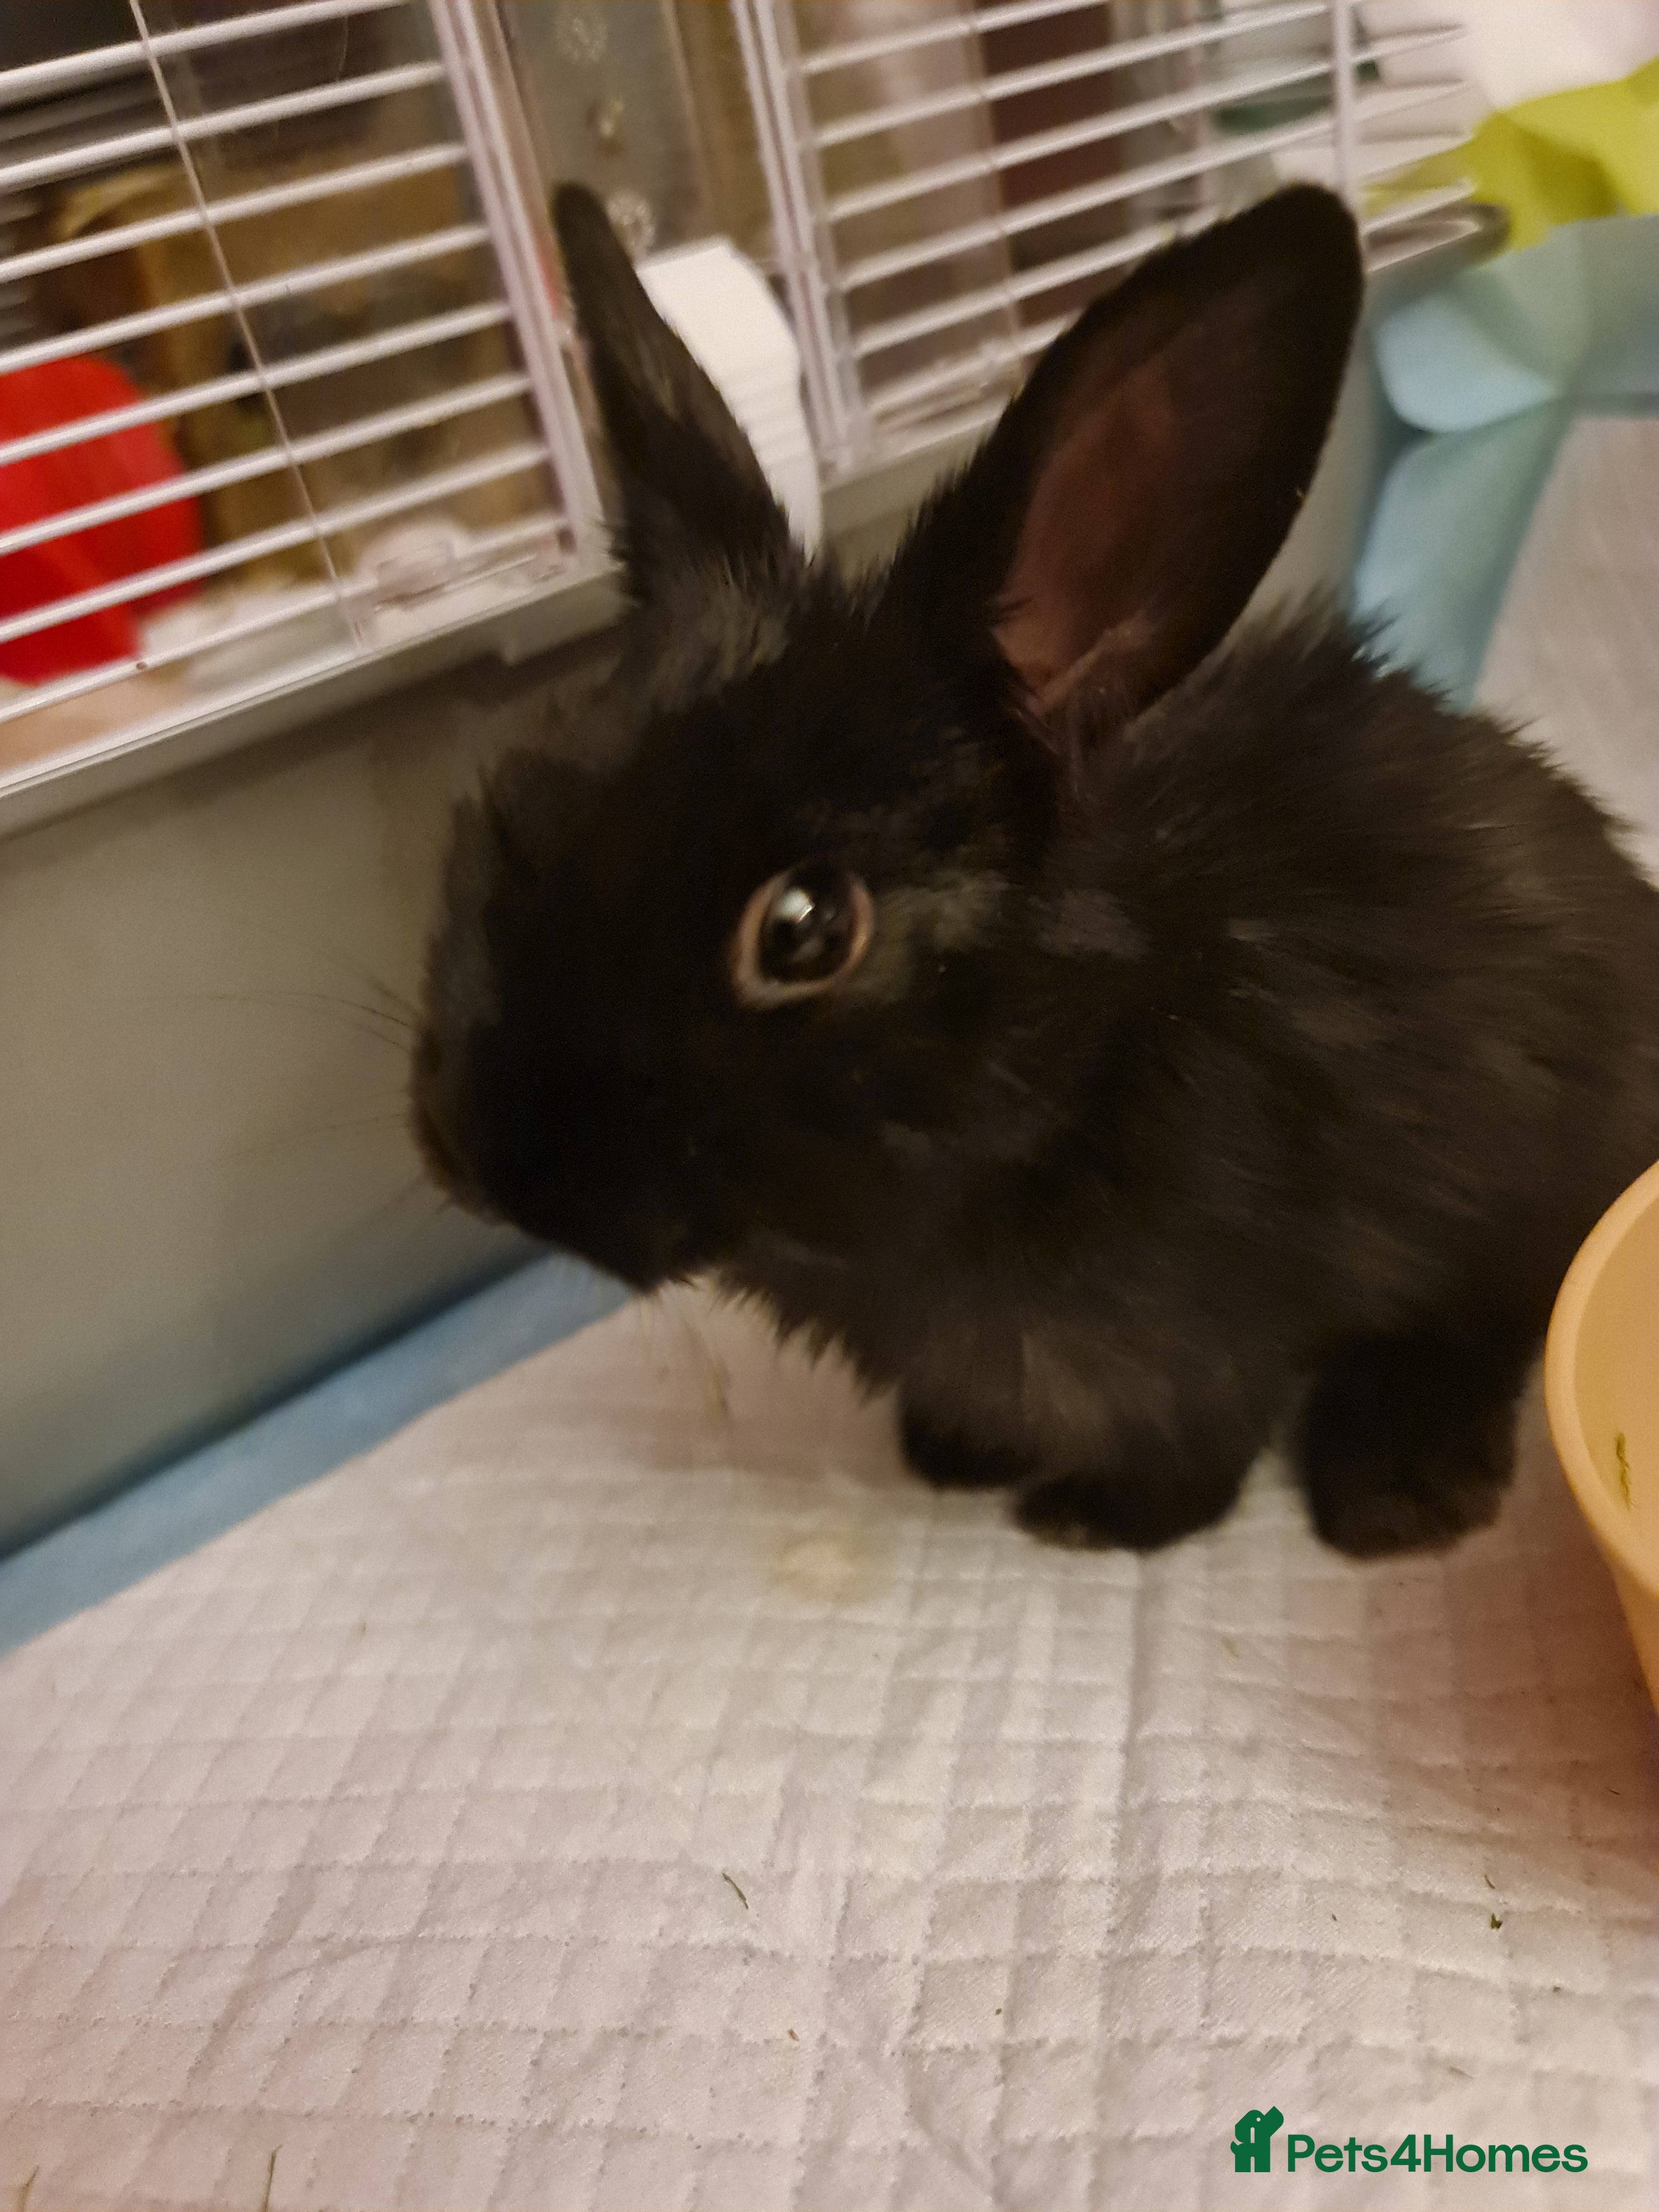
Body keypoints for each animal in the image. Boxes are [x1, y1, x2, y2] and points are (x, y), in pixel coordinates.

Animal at [412, 181, 1659, 1558]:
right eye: (514, 799)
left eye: (804, 930)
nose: (479, 1157)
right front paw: (950, 1454)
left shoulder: (1199, 1350)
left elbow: (1194, 1456)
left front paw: (1091, 1522)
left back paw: (1400, 1487)